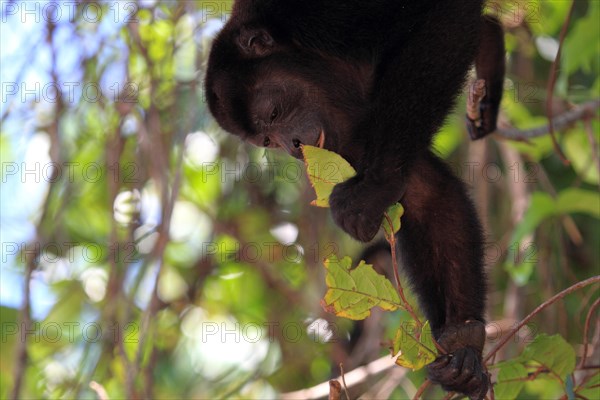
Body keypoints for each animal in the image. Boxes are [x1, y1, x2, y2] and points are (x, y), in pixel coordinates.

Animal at [204, 1, 504, 398]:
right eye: (265, 141)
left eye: (273, 113)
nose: (294, 147)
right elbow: (423, 192)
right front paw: (462, 341)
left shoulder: (333, 17)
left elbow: (448, 17)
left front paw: (373, 188)